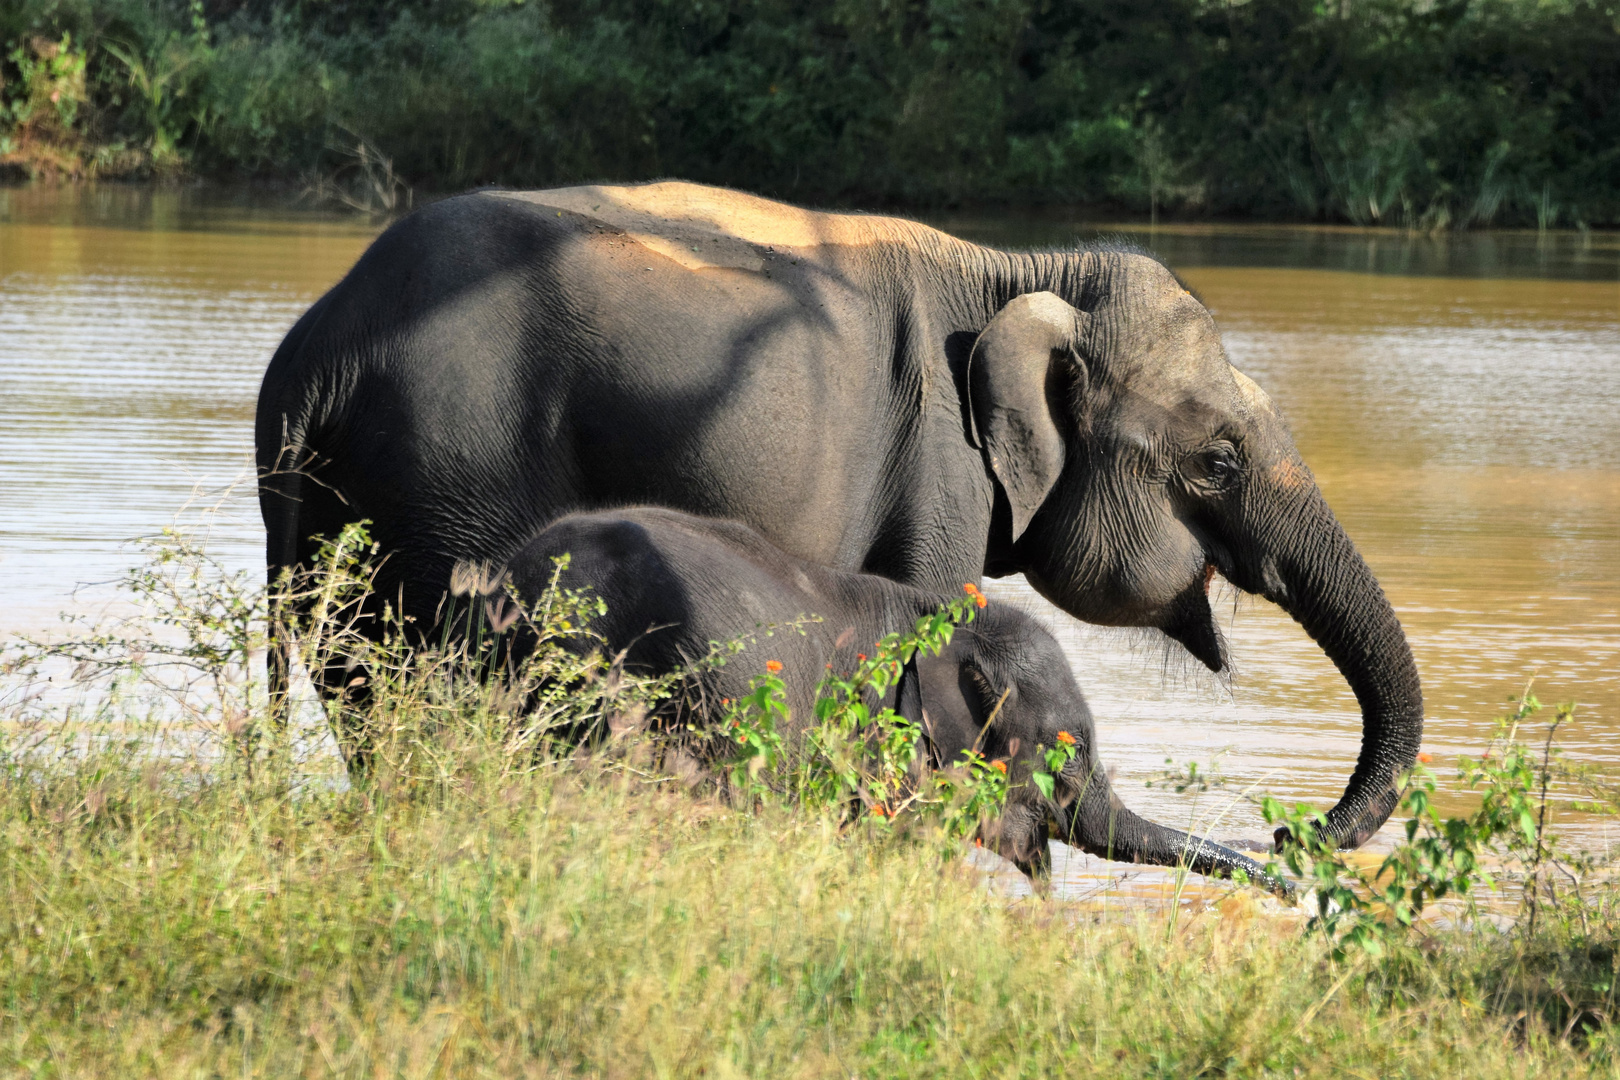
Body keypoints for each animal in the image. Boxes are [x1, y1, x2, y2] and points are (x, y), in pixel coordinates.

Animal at [252, 181, 1419, 848]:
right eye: (1217, 461)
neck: (1015, 271)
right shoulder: (940, 465)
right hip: (451, 474)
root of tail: (321, 350)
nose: (1291, 834)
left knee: (365, 685)